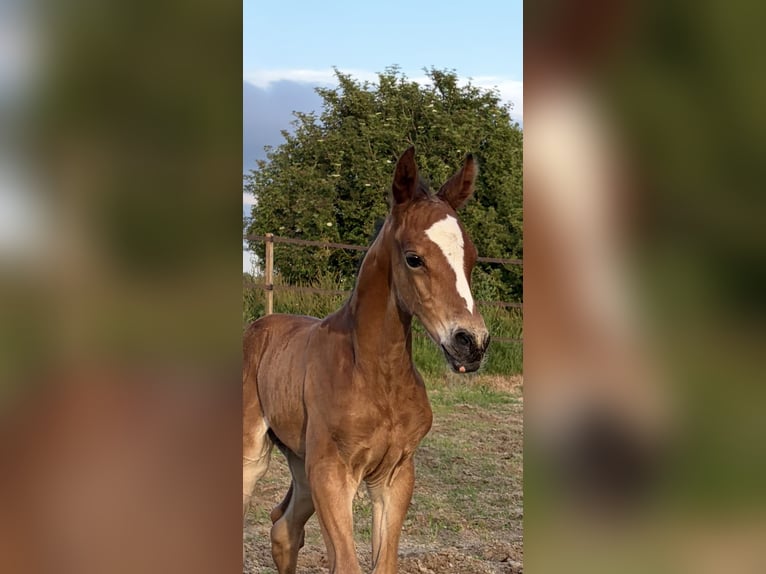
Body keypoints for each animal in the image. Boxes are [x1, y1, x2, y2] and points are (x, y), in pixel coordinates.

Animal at [242, 147, 490, 574]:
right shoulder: (332, 473)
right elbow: (347, 564)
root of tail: (259, 325)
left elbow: (383, 563)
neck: (376, 374)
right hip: (254, 456)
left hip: (301, 465)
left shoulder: (394, 475)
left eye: (471, 257)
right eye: (414, 258)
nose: (471, 342)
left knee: (284, 529)